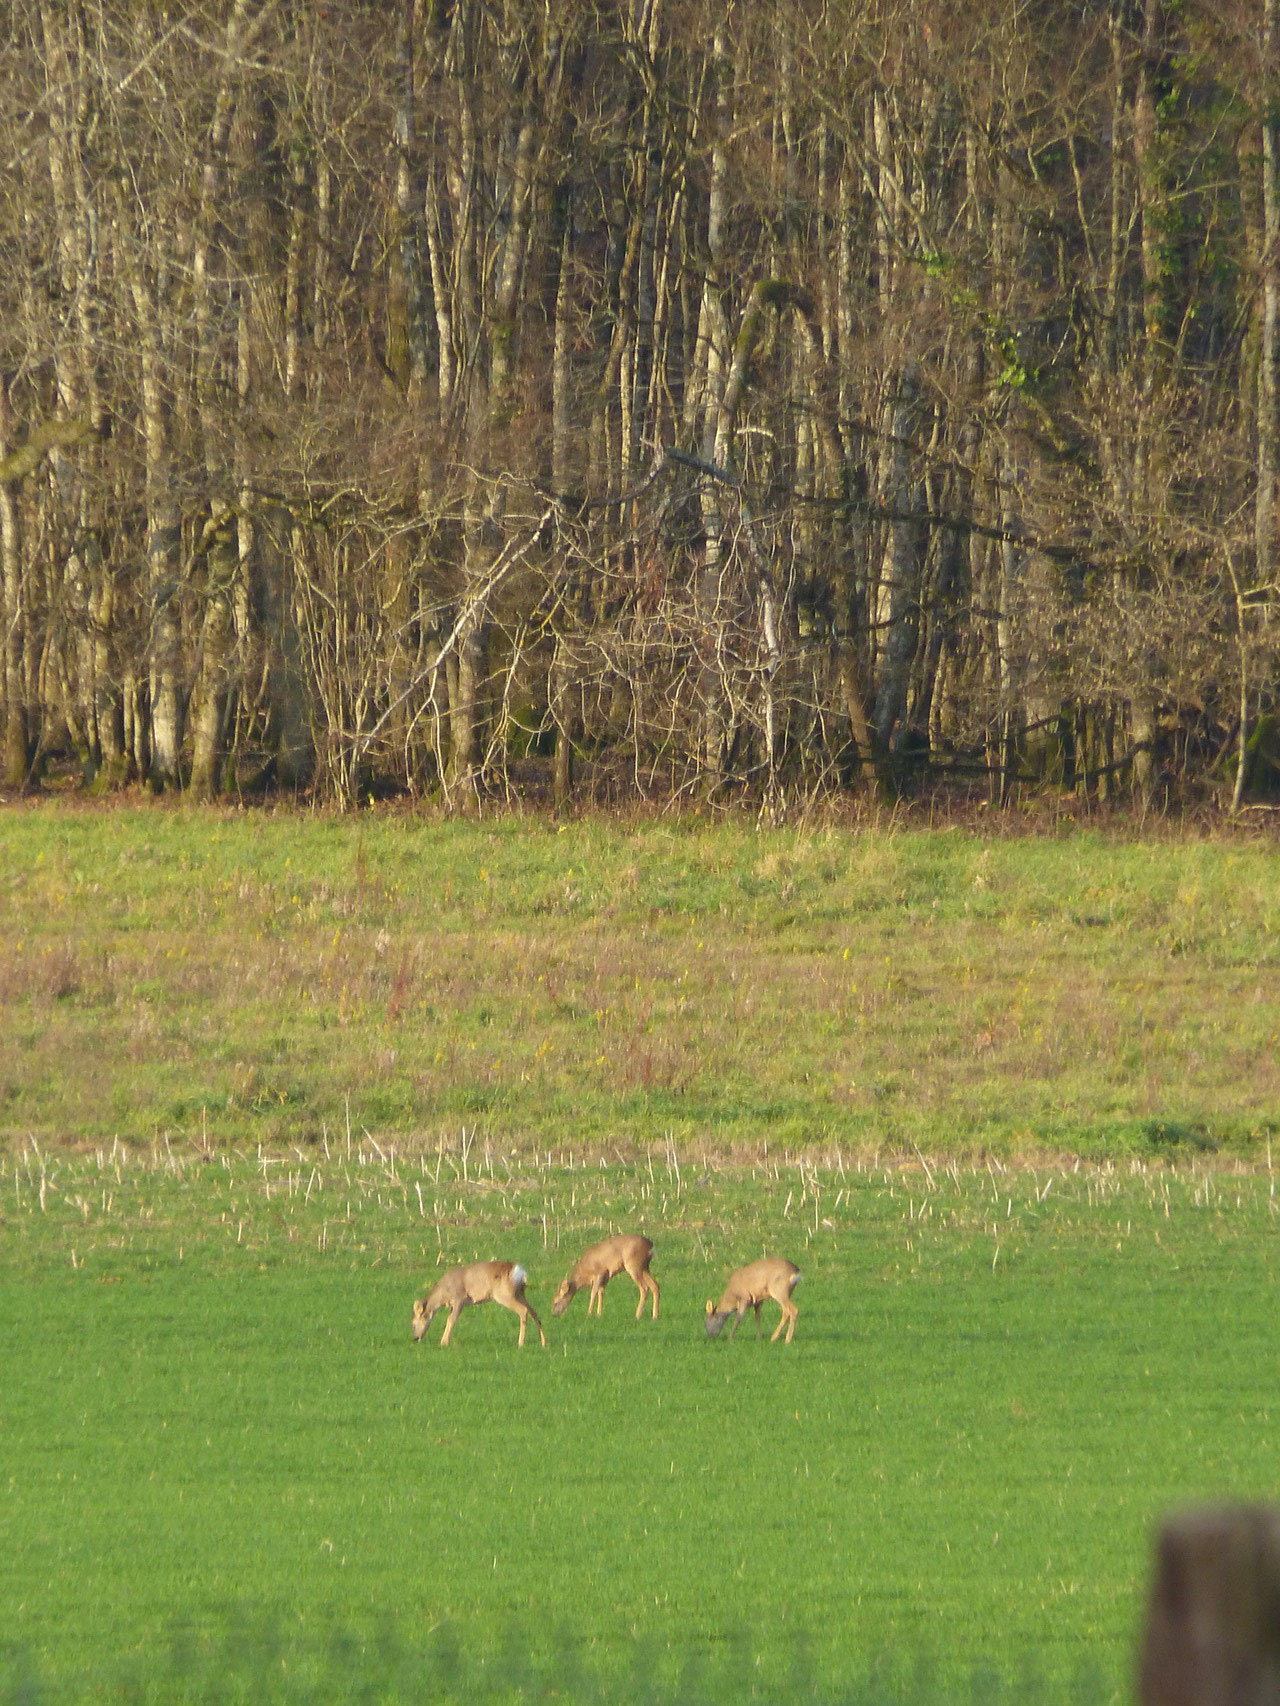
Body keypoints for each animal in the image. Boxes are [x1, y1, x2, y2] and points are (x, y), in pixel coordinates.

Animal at [413, 1255, 549, 1344]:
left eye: (413, 1324)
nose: (415, 1338)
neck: (443, 1294)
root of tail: (518, 1271)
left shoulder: (459, 1299)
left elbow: (451, 1320)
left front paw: (444, 1342)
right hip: (520, 1293)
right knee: (533, 1311)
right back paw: (543, 1342)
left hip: (504, 1294)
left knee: (523, 1311)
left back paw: (520, 1343)